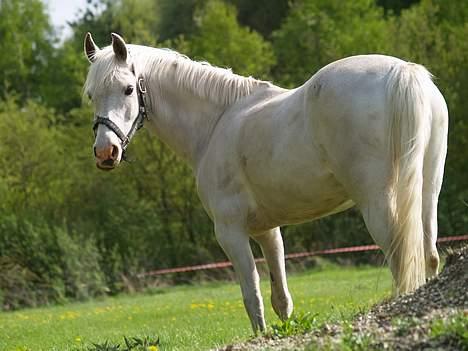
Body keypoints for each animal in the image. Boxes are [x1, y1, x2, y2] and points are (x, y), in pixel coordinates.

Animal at [84, 33, 450, 332]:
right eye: (91, 95)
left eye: (128, 89)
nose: (105, 152)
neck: (216, 122)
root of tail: (402, 71)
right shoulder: (267, 230)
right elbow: (280, 298)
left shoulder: (230, 232)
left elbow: (252, 296)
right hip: (427, 193)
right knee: (429, 256)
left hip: (378, 204)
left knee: (403, 262)